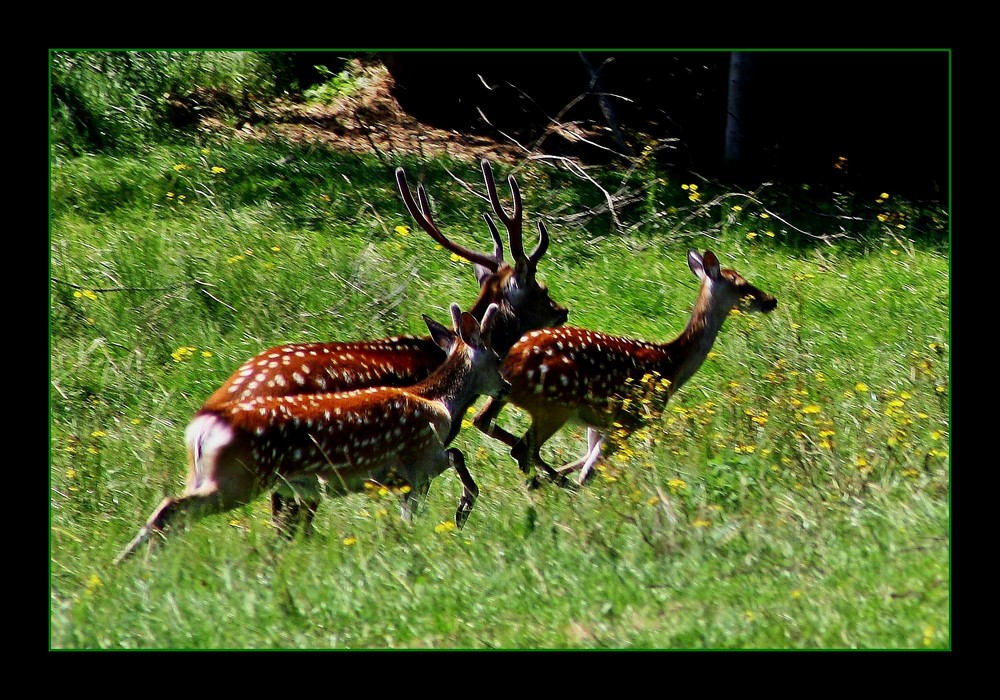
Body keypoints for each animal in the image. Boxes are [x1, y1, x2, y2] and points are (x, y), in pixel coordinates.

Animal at [113, 300, 512, 564]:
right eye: (496, 357)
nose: (507, 386)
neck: (437, 400)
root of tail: (202, 427)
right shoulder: (418, 458)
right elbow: (450, 462)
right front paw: (459, 512)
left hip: (202, 475)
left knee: (172, 512)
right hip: (236, 480)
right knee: (171, 509)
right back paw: (131, 562)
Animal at [472, 250, 776, 486]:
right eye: (742, 284)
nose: (770, 300)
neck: (672, 363)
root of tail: (512, 362)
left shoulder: (598, 422)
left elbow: (584, 462)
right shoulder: (633, 417)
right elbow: (588, 471)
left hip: (514, 400)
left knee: (485, 422)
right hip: (555, 405)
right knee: (524, 451)